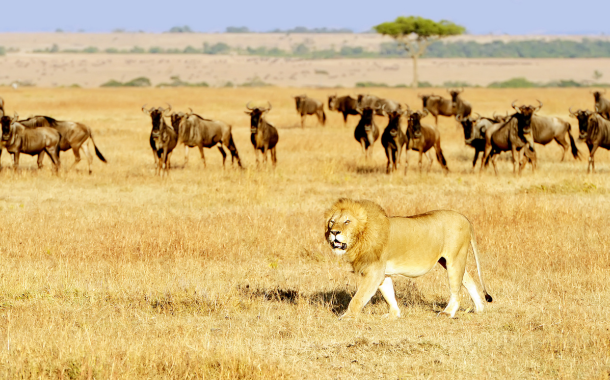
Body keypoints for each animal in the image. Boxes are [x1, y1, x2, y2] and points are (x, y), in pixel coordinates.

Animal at [324, 197, 490, 320]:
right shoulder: (383, 272)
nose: (334, 232)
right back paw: (480, 308)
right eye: (332, 222)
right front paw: (394, 314)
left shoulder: (374, 270)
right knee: (469, 279)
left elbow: (359, 297)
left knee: (456, 290)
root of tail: (465, 218)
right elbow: (388, 294)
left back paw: (448, 312)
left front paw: (347, 316)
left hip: (454, 259)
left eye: (347, 221)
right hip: (448, 261)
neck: (361, 237)